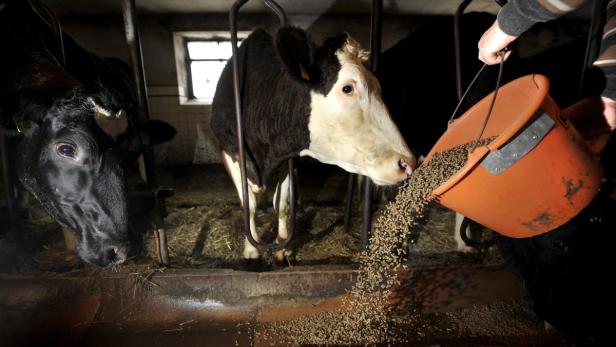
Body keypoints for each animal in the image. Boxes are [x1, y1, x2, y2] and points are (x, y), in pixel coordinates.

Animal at [213, 27, 418, 260]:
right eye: (347, 88)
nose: (408, 163)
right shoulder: (227, 150)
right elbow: (249, 204)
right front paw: (251, 248)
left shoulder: (290, 157)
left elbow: (280, 204)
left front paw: (282, 246)